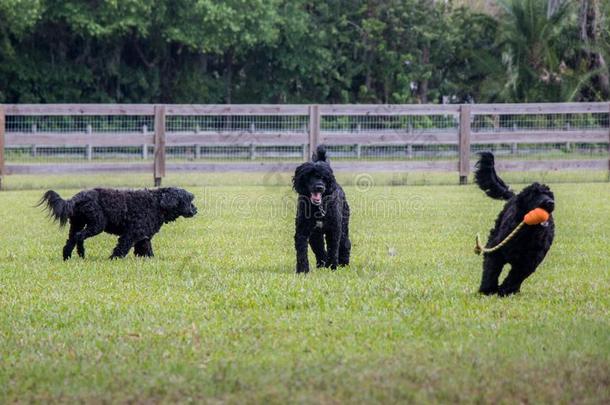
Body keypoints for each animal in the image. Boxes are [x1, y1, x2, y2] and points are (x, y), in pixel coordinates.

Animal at [39, 186, 197, 258]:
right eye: (188, 200)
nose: (196, 210)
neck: (157, 203)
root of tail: (77, 198)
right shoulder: (131, 234)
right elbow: (122, 248)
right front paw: (113, 259)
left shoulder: (143, 237)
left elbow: (146, 250)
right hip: (96, 224)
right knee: (79, 237)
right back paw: (80, 254)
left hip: (78, 224)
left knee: (71, 239)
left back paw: (68, 256)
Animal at [290, 144, 350, 274]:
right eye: (309, 175)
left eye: (324, 178)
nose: (319, 187)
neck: (318, 208)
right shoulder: (304, 230)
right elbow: (302, 251)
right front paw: (302, 270)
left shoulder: (334, 230)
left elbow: (333, 249)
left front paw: (332, 266)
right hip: (316, 234)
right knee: (320, 248)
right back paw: (321, 264)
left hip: (343, 226)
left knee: (345, 243)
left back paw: (344, 263)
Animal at [472, 151, 552, 294]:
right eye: (534, 195)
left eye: (550, 194)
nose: (550, 203)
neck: (527, 234)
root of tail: (514, 196)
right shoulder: (496, 252)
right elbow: (491, 270)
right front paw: (488, 289)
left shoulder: (529, 262)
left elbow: (515, 276)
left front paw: (505, 290)